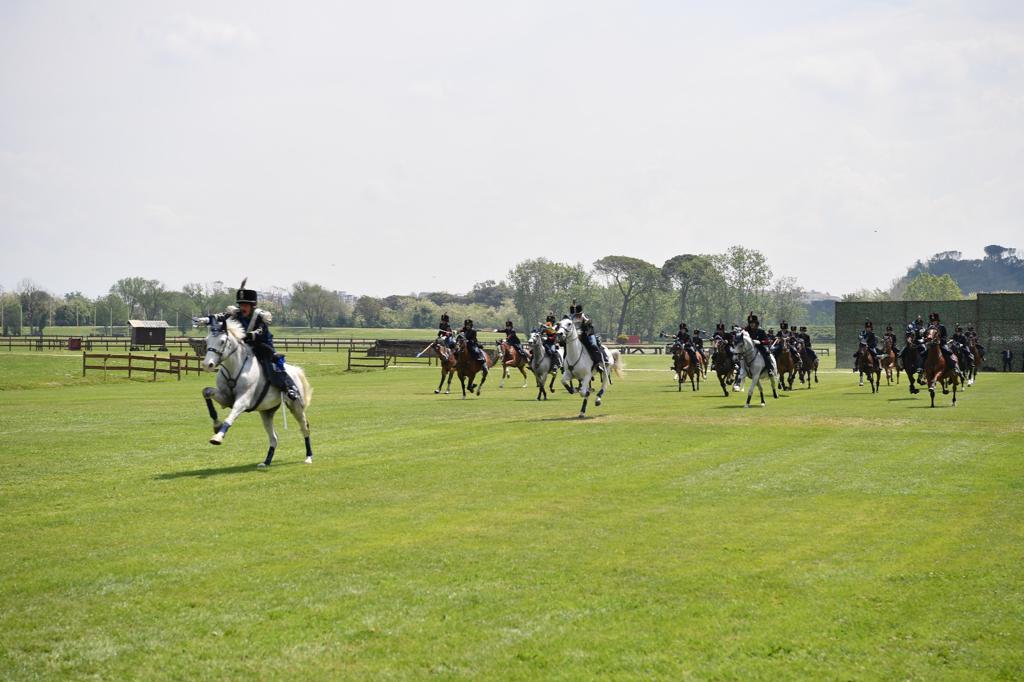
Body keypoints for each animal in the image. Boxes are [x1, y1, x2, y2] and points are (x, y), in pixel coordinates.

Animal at [196, 315, 311, 466]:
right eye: (207, 340)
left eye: (222, 341)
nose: (206, 365)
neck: (235, 367)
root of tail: (296, 371)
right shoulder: (226, 399)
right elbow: (206, 392)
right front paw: (216, 424)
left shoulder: (243, 402)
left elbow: (230, 417)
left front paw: (218, 436)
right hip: (267, 412)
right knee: (274, 437)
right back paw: (267, 461)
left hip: (296, 406)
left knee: (305, 428)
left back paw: (308, 457)